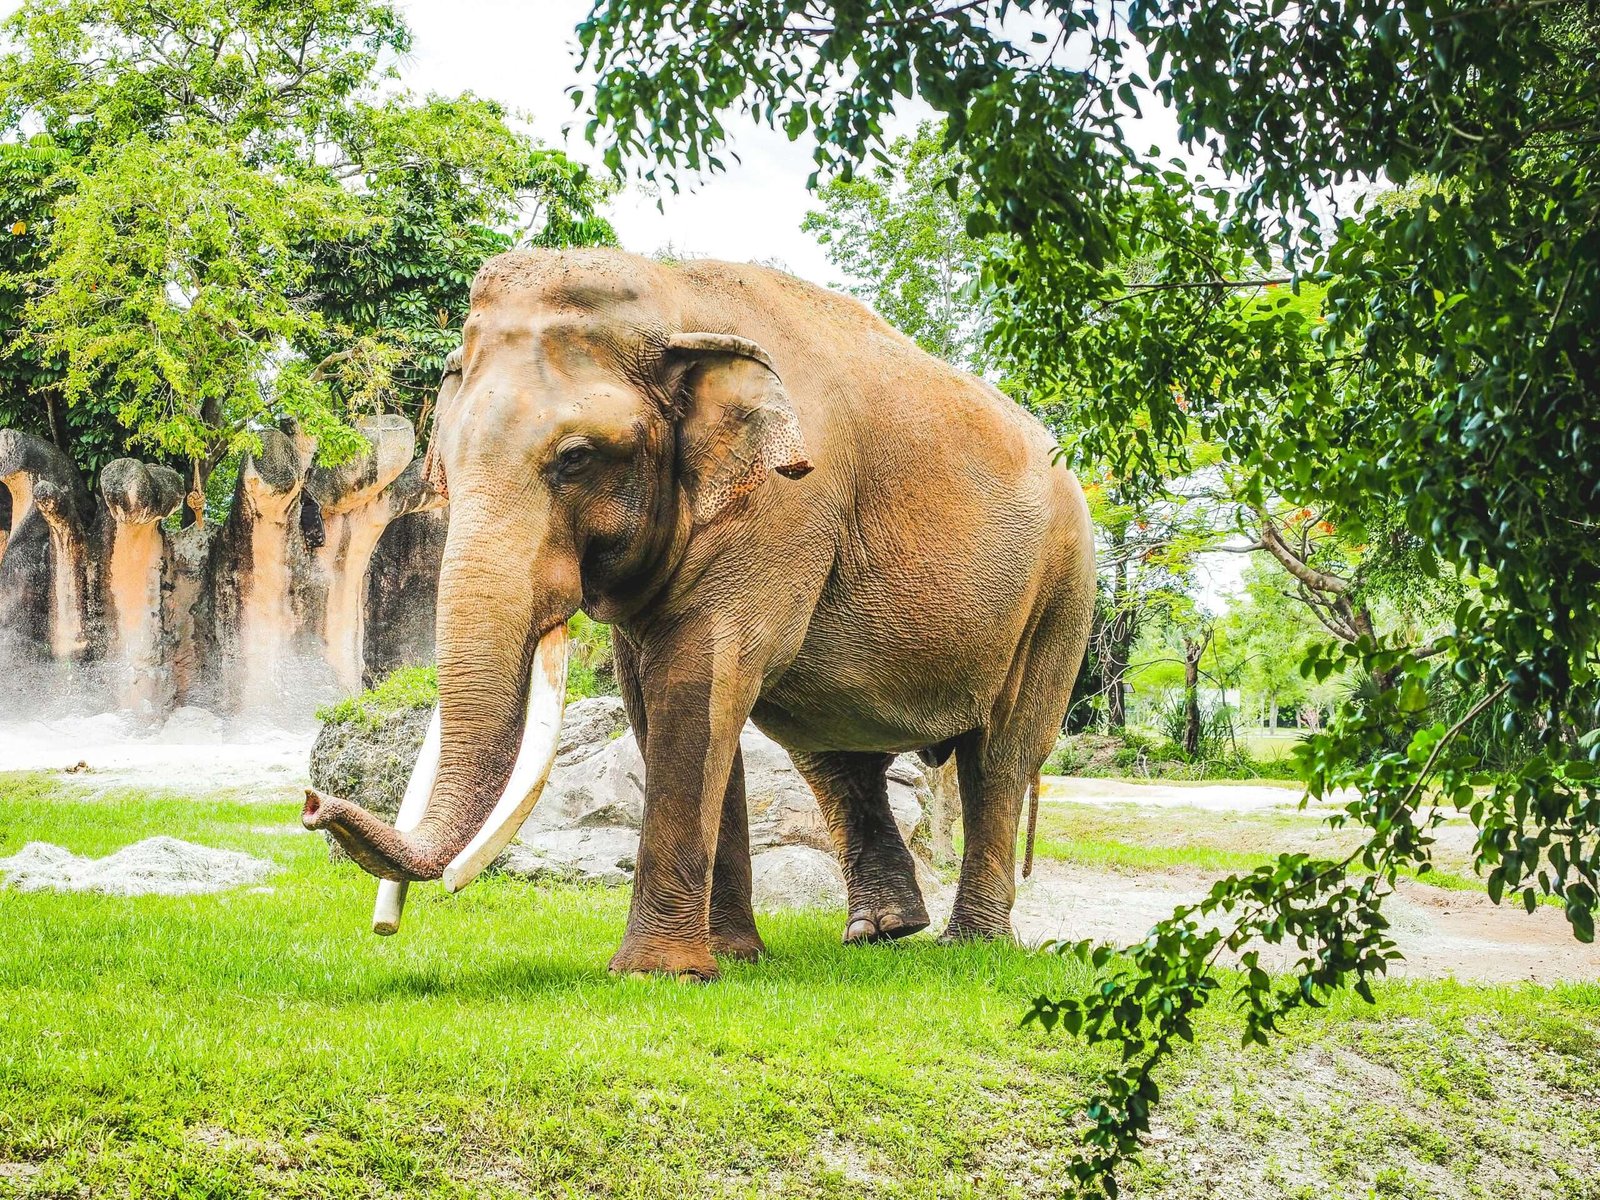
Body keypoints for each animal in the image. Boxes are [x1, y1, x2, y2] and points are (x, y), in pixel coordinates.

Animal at [304, 249, 1094, 979]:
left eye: (575, 458)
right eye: (447, 461)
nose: (314, 804)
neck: (672, 294)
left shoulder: (784, 503)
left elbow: (696, 677)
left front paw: (658, 973)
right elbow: (657, 700)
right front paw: (734, 960)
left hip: (1061, 592)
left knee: (1000, 755)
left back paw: (973, 945)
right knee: (833, 756)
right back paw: (881, 932)